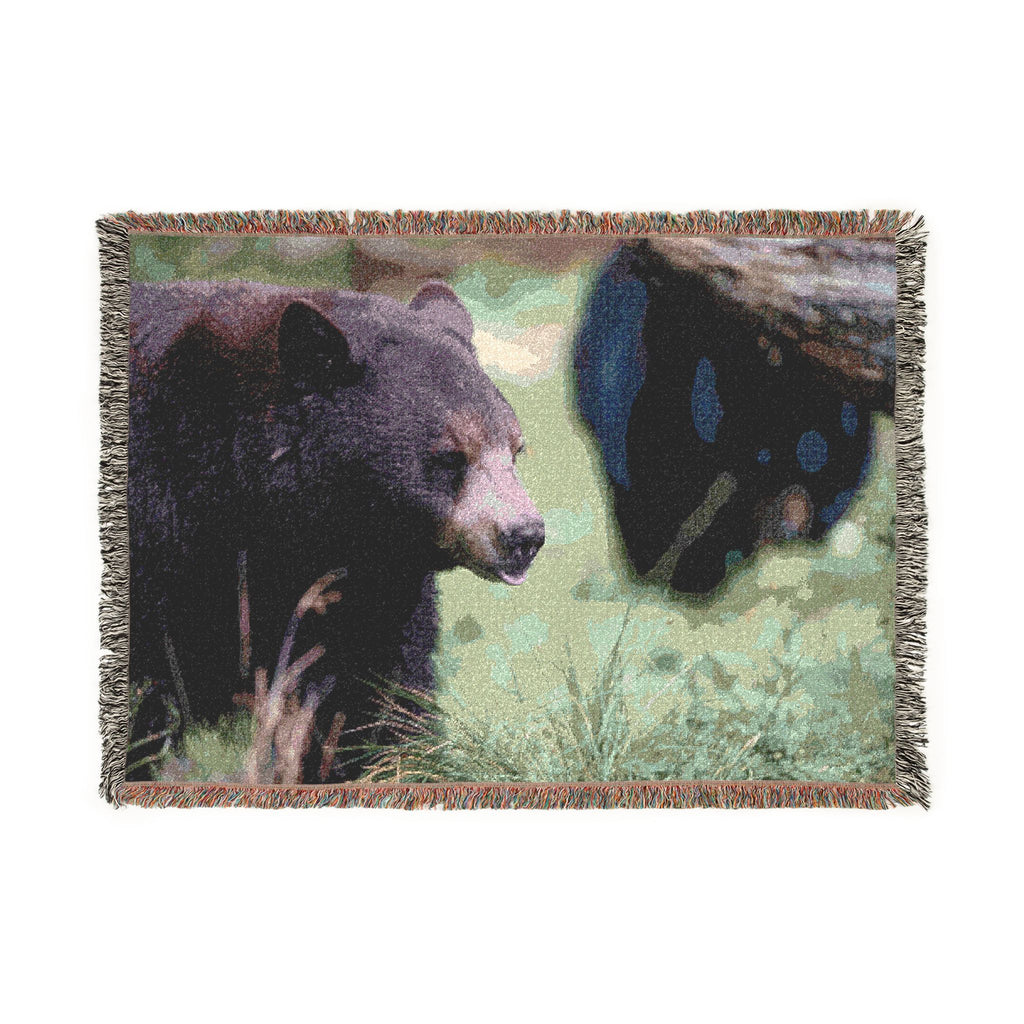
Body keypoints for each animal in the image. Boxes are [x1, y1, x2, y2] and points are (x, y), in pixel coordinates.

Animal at [128, 278, 545, 781]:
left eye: (515, 449)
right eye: (450, 456)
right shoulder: (160, 545)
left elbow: (370, 699)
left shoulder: (365, 592)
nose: (525, 536)